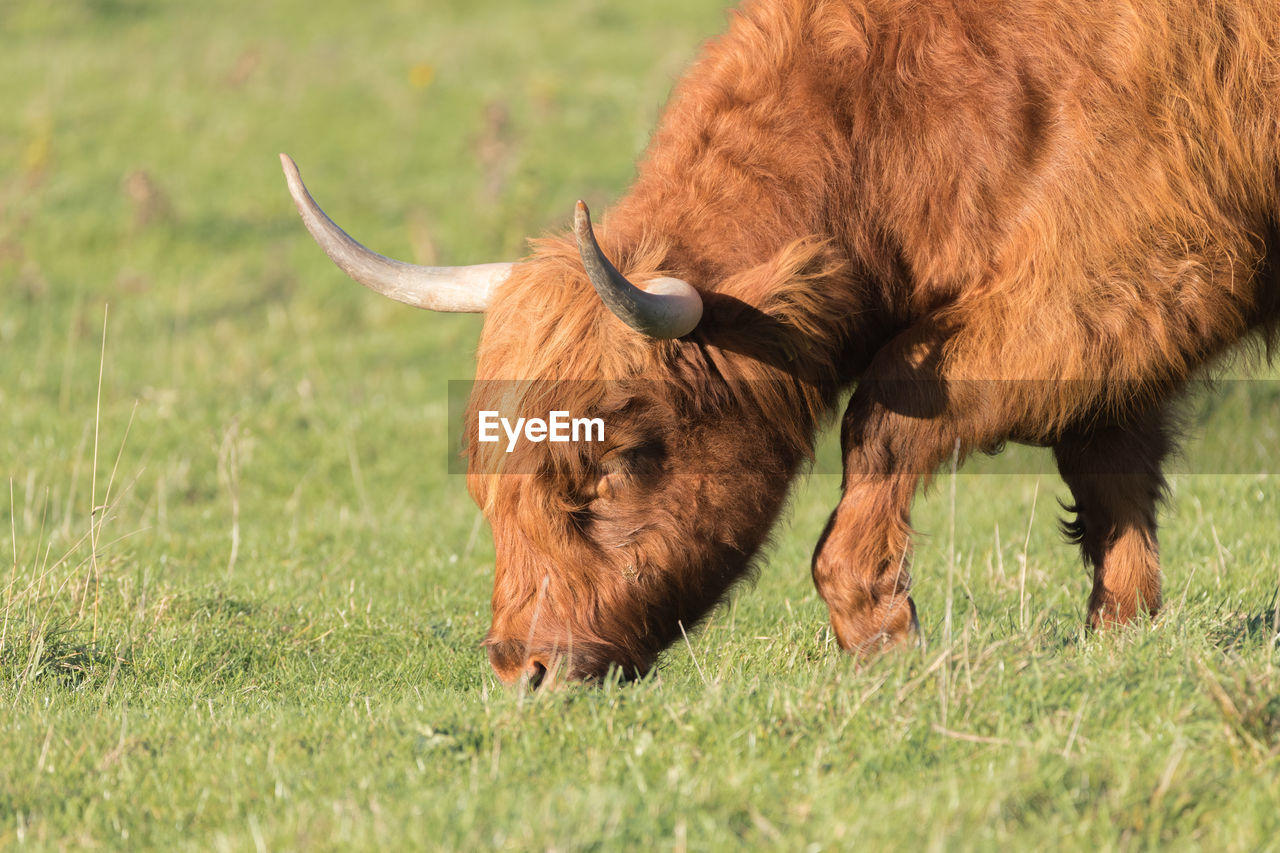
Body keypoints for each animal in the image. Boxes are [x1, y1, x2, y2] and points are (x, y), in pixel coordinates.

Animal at [285, 0, 1280, 681]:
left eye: (618, 459)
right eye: (488, 488)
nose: (522, 669)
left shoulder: (1130, 270)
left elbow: (887, 413)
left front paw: (877, 628)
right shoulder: (1109, 318)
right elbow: (1110, 470)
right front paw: (1121, 627)